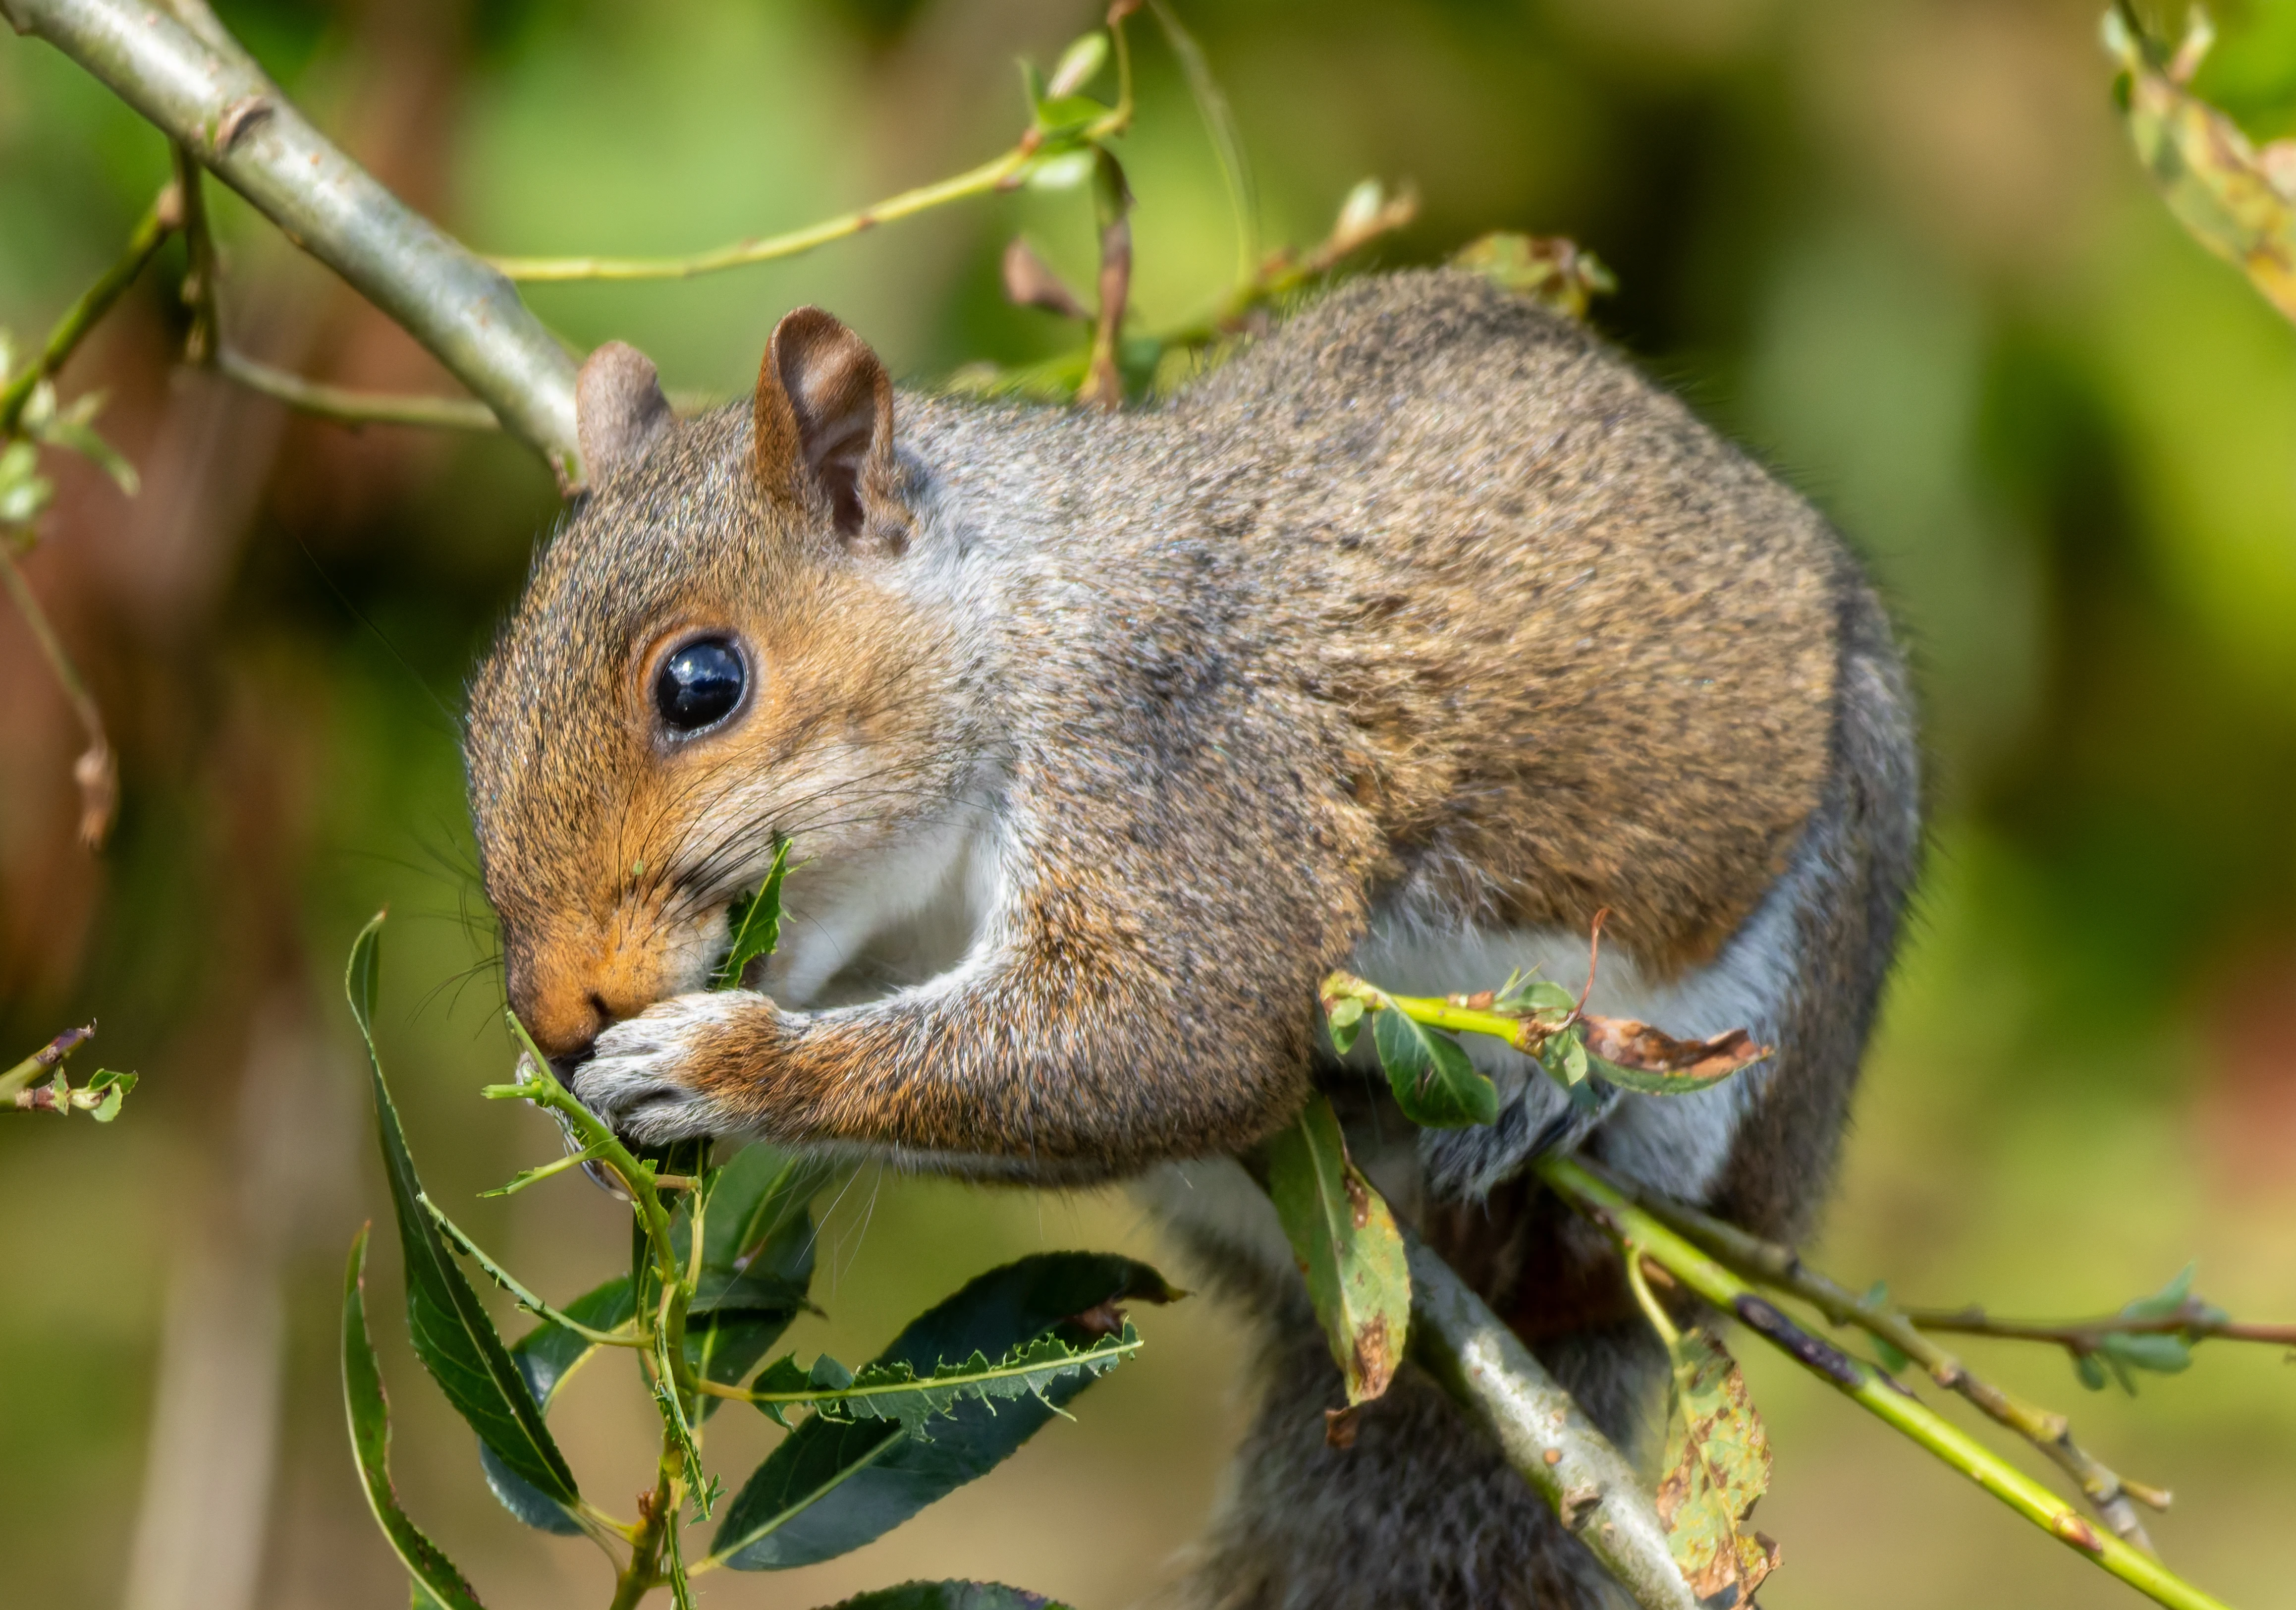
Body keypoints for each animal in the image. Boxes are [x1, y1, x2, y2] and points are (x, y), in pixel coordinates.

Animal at [464, 269, 1921, 1609]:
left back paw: (1563, 1112)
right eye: (477, 716)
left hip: (1803, 951)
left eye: (703, 682)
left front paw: (713, 1067)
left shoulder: (1173, 762)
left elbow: (1178, 1034)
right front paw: (569, 1108)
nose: (551, 1011)